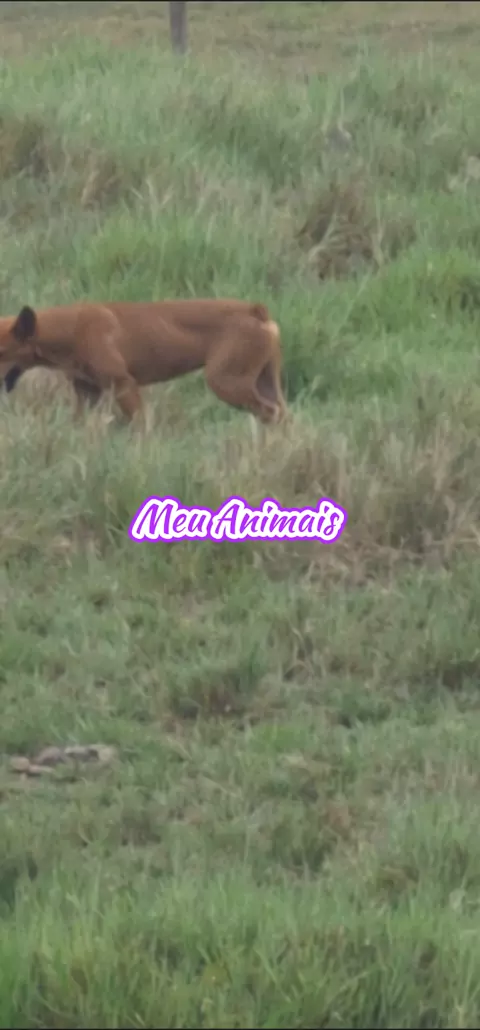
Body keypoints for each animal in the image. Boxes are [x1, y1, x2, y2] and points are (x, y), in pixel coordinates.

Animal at [0, 299, 287, 424]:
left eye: (2, 352)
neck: (70, 329)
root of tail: (254, 310)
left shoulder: (124, 385)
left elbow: (139, 426)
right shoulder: (88, 392)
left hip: (226, 383)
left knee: (269, 413)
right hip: (265, 384)